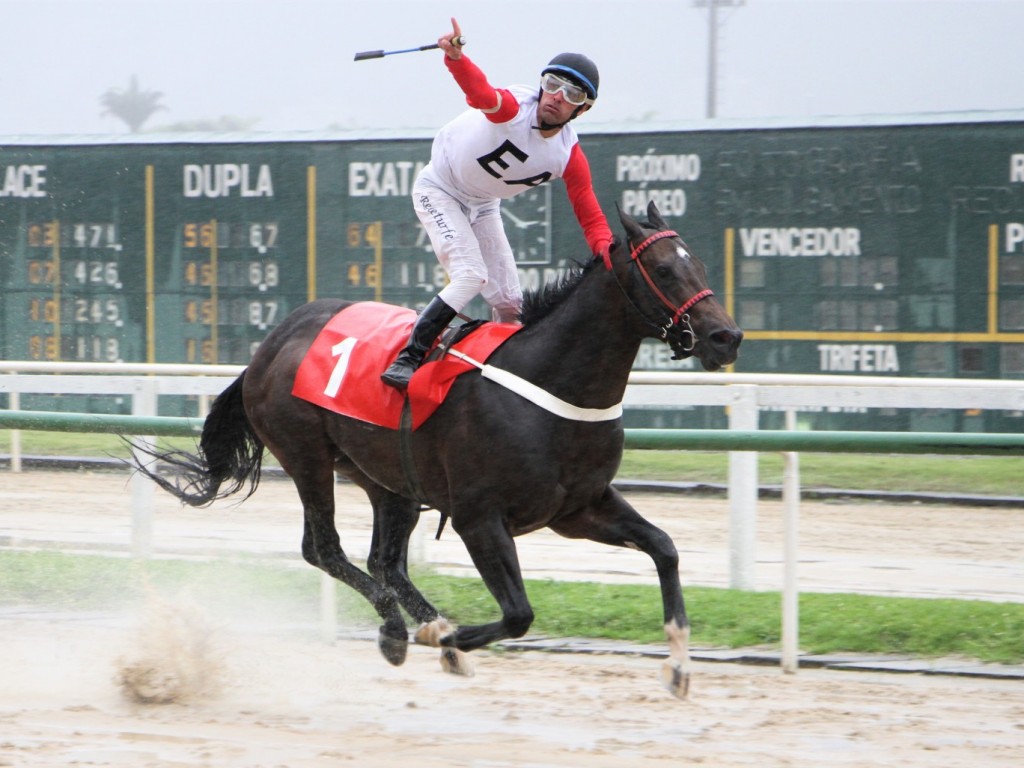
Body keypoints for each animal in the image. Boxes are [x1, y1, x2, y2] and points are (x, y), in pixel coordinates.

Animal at [132, 201, 745, 700]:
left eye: (699, 265)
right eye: (663, 269)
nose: (726, 337)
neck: (548, 384)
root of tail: (273, 341)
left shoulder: (578, 508)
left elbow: (665, 548)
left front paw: (679, 667)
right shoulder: (480, 516)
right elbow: (518, 614)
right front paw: (450, 639)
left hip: (388, 478)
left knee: (385, 560)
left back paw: (415, 627)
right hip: (305, 454)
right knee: (324, 549)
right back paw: (409, 630)